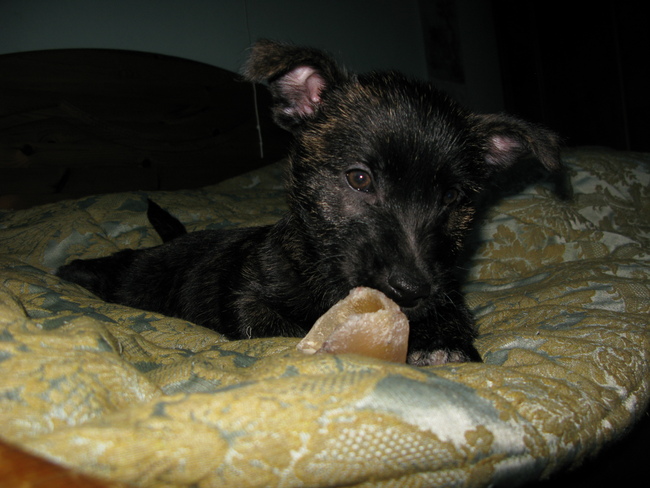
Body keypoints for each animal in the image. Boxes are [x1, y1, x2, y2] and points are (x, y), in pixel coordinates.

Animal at [56, 39, 561, 366]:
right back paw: (73, 271)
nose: (411, 289)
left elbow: (451, 314)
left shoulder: (446, 289)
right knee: (116, 266)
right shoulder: (250, 300)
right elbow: (277, 329)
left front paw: (443, 342)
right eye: (359, 178)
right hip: (139, 274)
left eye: (453, 198)